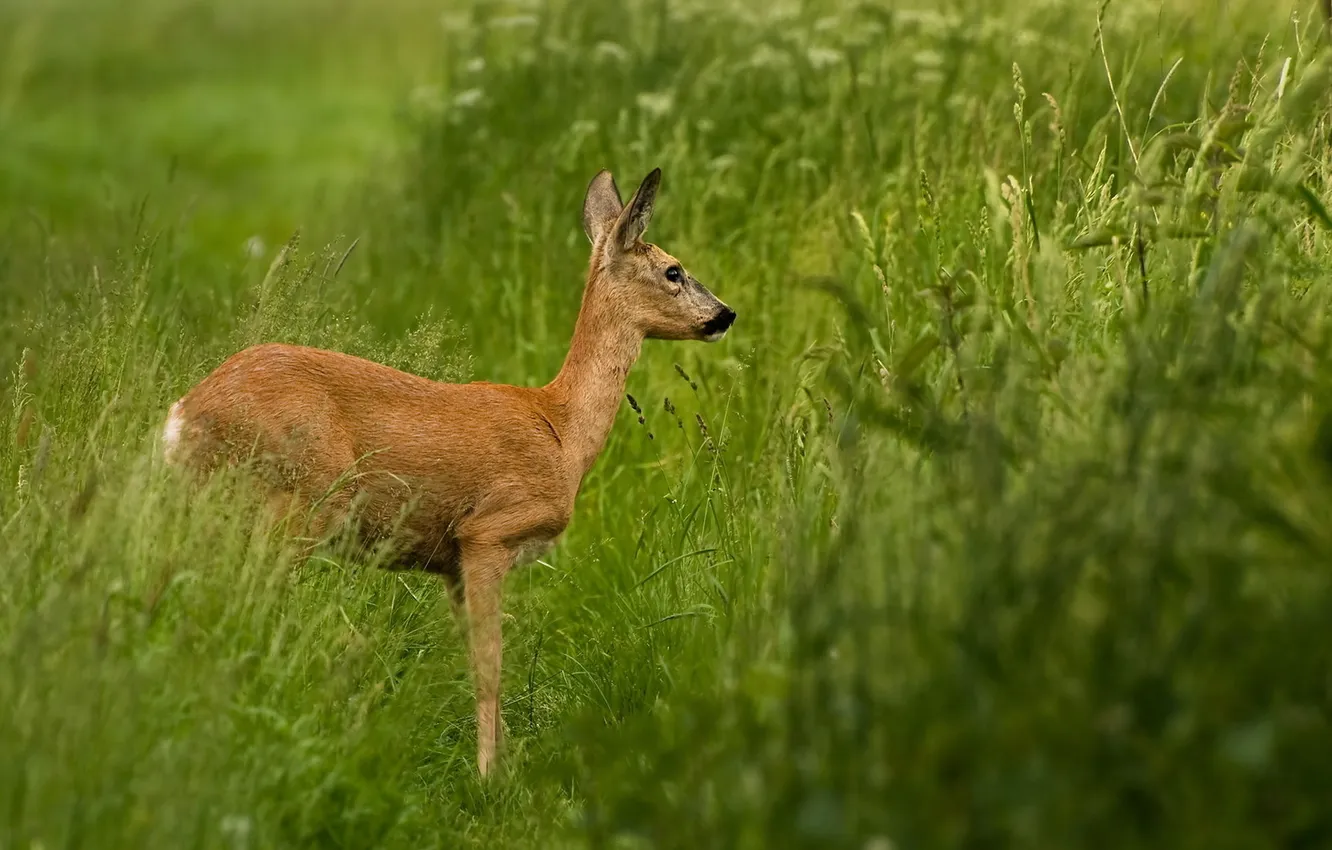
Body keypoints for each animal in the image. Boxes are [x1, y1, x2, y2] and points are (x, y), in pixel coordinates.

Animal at [160, 167, 736, 777]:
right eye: (674, 270)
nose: (726, 314)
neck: (561, 432)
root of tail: (182, 417)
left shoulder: (449, 565)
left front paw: (502, 760)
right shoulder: (487, 532)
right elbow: (489, 663)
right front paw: (489, 776)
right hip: (293, 503)